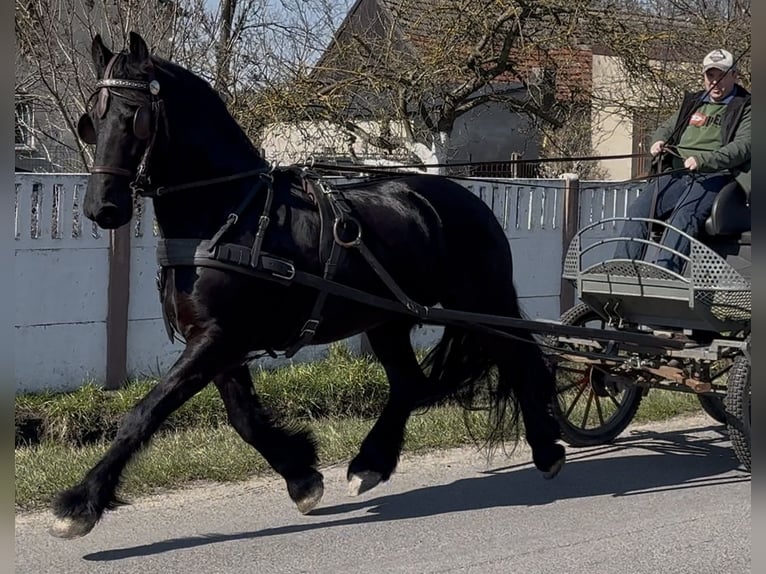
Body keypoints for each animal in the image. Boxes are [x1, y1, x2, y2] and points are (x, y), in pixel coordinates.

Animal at [49, 33, 564, 544]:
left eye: (135, 118)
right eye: (92, 119)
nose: (101, 208)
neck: (226, 213)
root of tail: (468, 196)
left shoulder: (218, 338)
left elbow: (145, 413)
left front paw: (80, 503)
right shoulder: (219, 340)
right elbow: (244, 418)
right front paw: (301, 477)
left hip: (482, 301)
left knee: (519, 359)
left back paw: (547, 448)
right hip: (387, 319)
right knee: (409, 383)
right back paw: (370, 463)